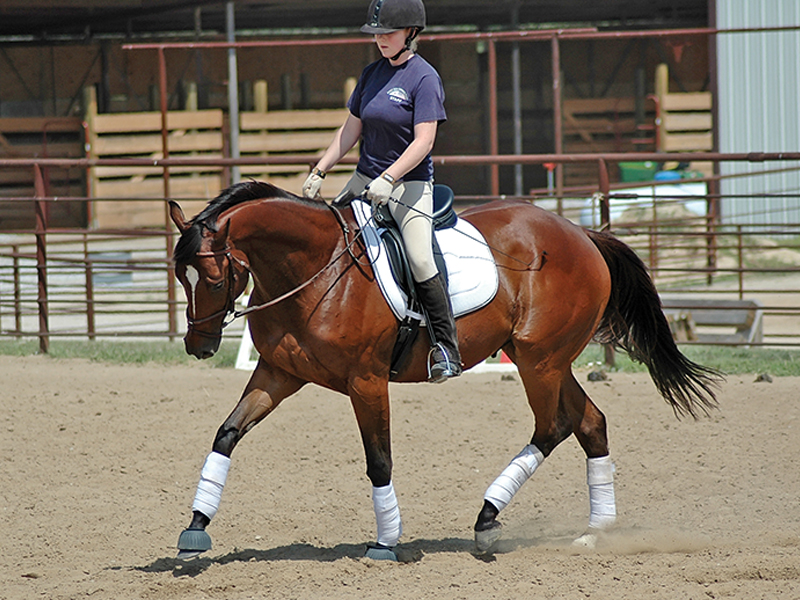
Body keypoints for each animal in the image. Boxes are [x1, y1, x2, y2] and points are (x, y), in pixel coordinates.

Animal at [168, 179, 720, 560]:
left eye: (213, 278)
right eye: (180, 276)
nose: (197, 346)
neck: (316, 270)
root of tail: (579, 232)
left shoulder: (366, 382)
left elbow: (379, 461)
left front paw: (386, 542)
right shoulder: (279, 374)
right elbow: (226, 434)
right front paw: (195, 528)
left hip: (539, 360)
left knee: (554, 425)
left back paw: (488, 520)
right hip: (547, 360)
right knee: (590, 422)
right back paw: (594, 531)